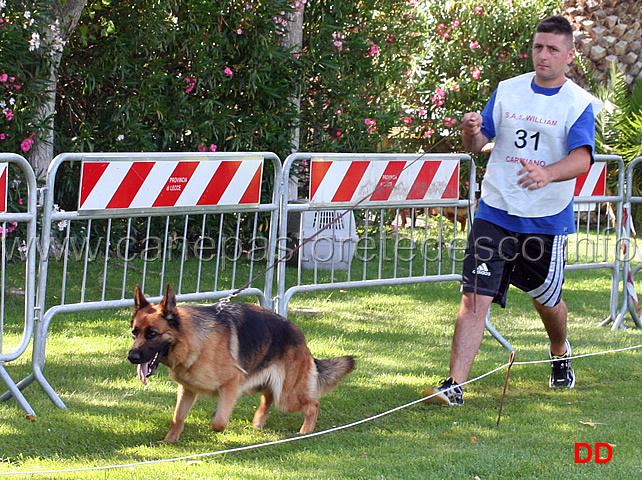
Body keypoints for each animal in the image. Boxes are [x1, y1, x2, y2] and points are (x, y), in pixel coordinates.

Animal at [127, 284, 352, 442]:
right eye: (134, 333)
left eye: (152, 334)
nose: (132, 357)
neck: (192, 341)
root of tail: (301, 338)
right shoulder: (187, 389)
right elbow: (177, 417)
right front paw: (169, 440)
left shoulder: (231, 382)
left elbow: (219, 421)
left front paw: (216, 420)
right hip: (260, 385)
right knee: (267, 396)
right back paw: (259, 420)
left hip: (286, 397)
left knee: (312, 404)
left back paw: (305, 431)